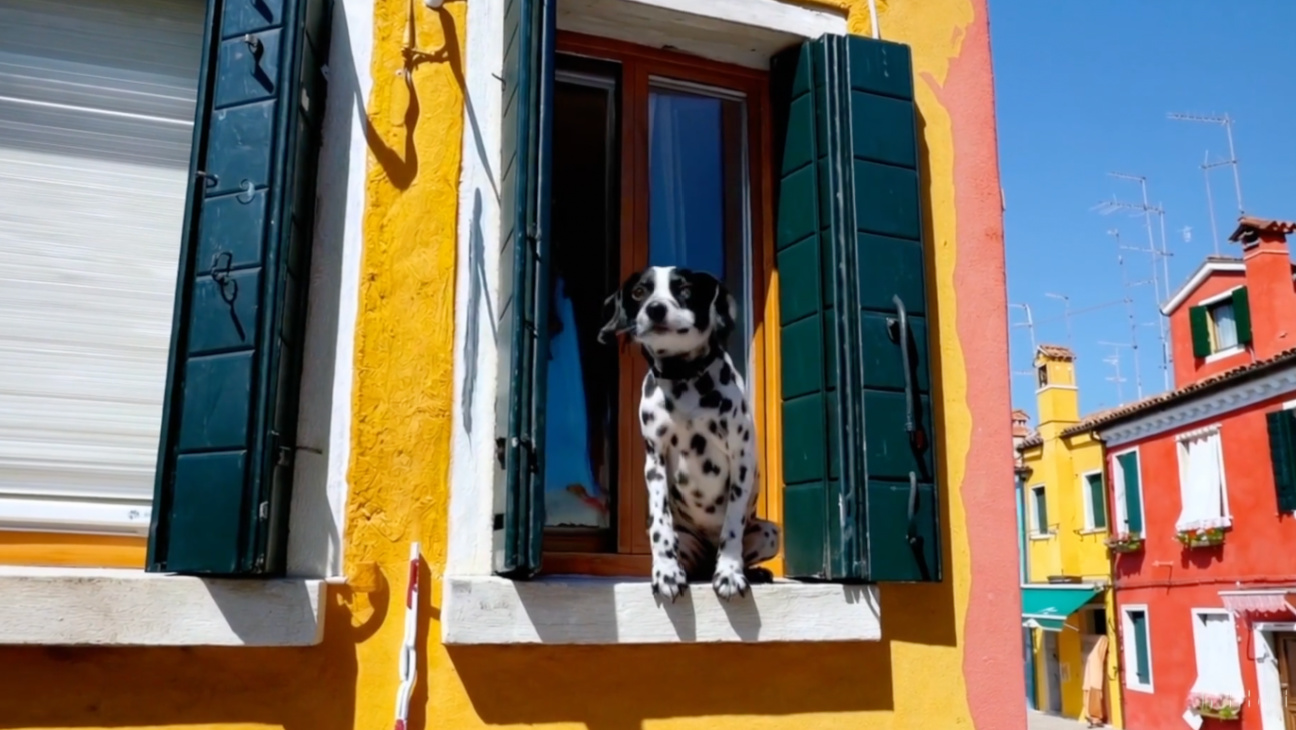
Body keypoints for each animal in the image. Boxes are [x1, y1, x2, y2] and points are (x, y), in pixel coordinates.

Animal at [596, 265, 777, 601]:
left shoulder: (741, 460)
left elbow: (732, 526)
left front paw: (730, 573)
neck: (685, 379)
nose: (655, 308)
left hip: (771, 532)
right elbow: (660, 524)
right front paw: (666, 572)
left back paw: (752, 572)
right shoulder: (654, 462)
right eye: (639, 292)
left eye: (685, 289)